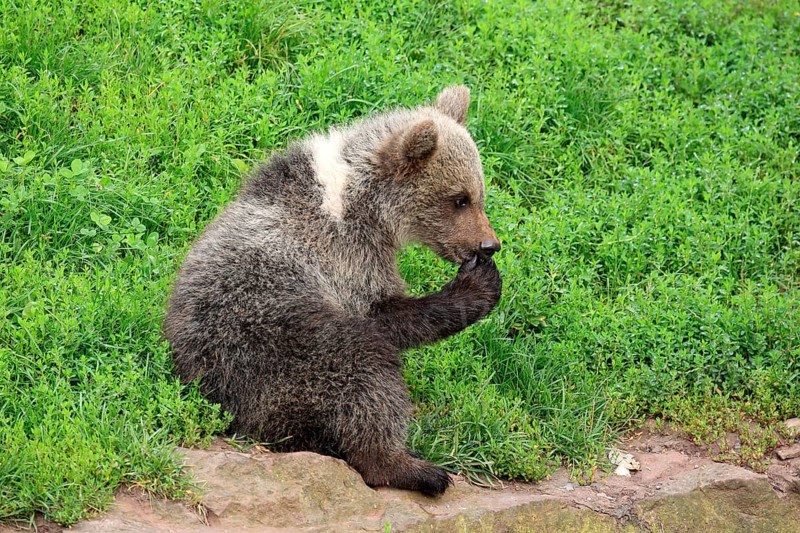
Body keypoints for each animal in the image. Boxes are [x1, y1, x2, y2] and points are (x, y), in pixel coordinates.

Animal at [164, 85, 502, 496]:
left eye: (479, 194)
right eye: (459, 198)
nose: (489, 245)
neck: (361, 202)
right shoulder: (342, 253)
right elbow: (384, 315)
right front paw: (476, 287)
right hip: (270, 345)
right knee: (364, 371)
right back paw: (414, 468)